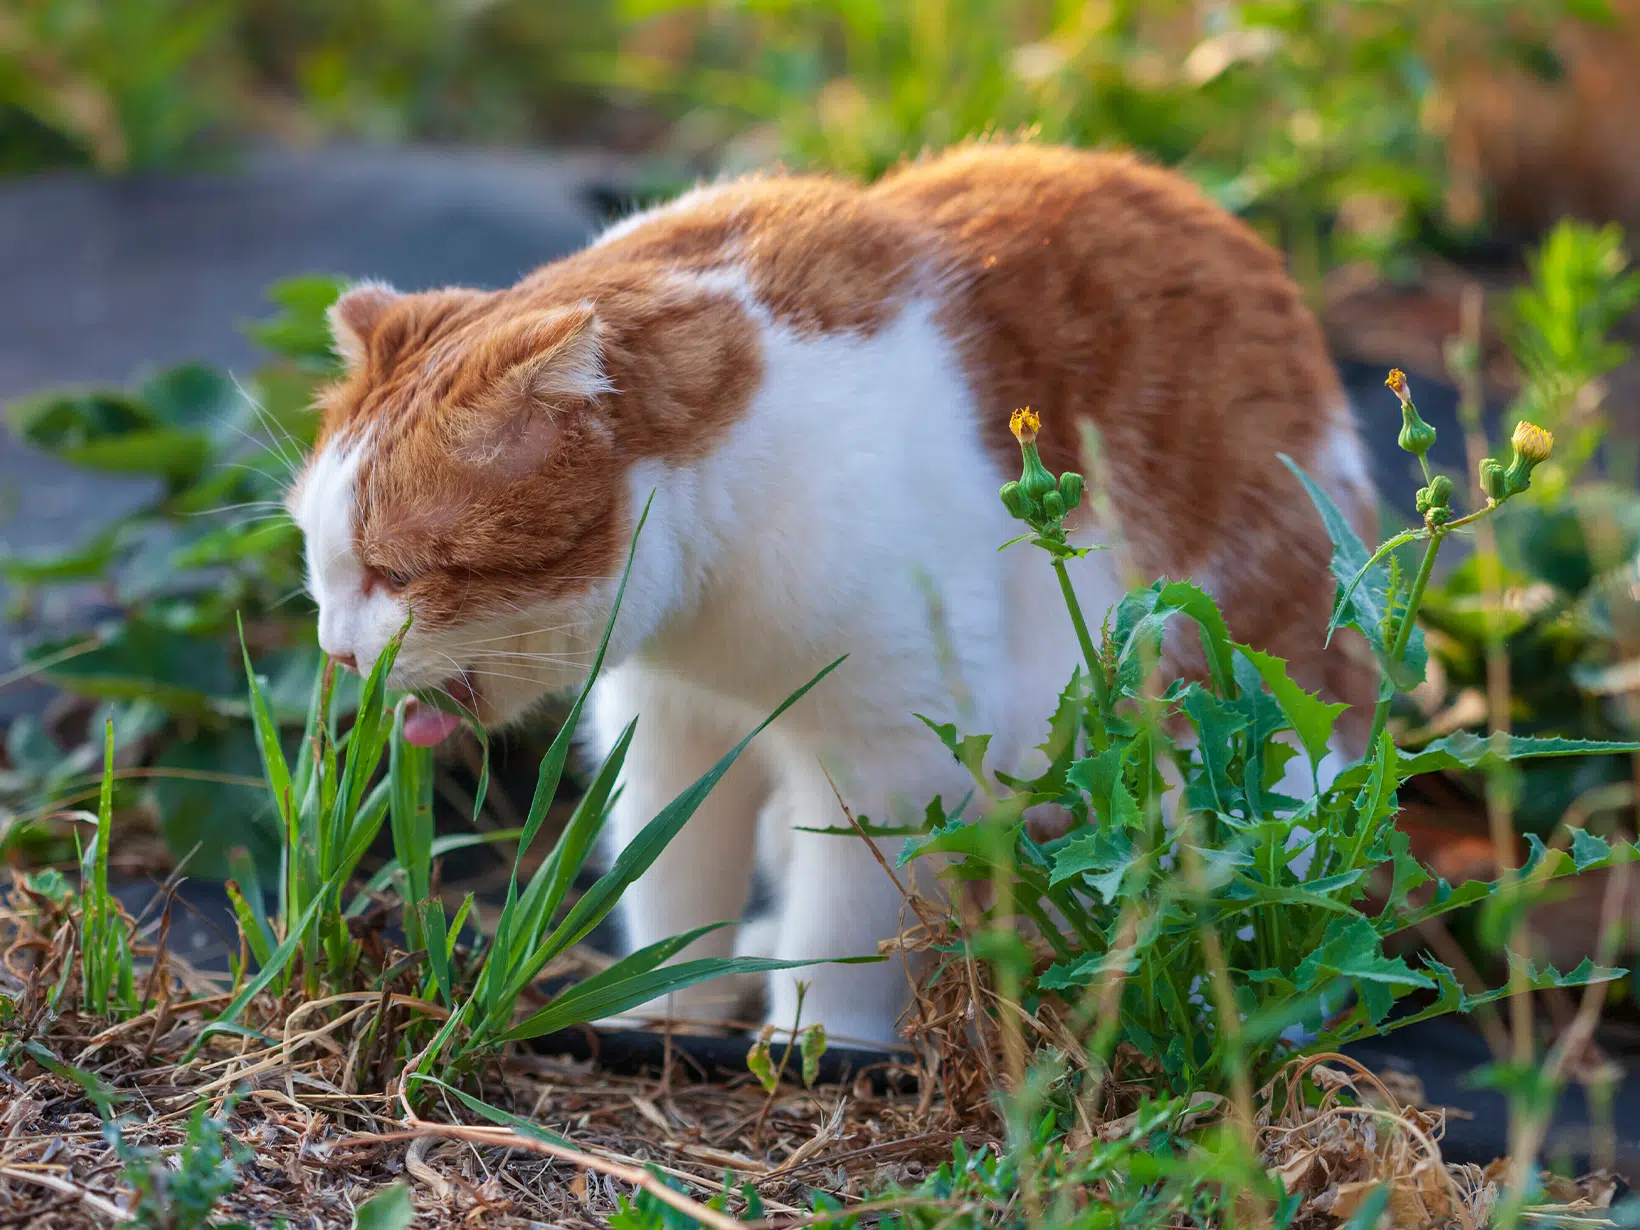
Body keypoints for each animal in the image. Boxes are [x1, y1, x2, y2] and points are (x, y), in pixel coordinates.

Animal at [288, 144, 1377, 1049]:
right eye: (317, 559)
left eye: (397, 573)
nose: (338, 650)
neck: (709, 615)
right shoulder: (672, 722)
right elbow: (673, 875)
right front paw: (669, 1010)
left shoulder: (891, 748)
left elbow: (849, 917)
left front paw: (820, 1040)